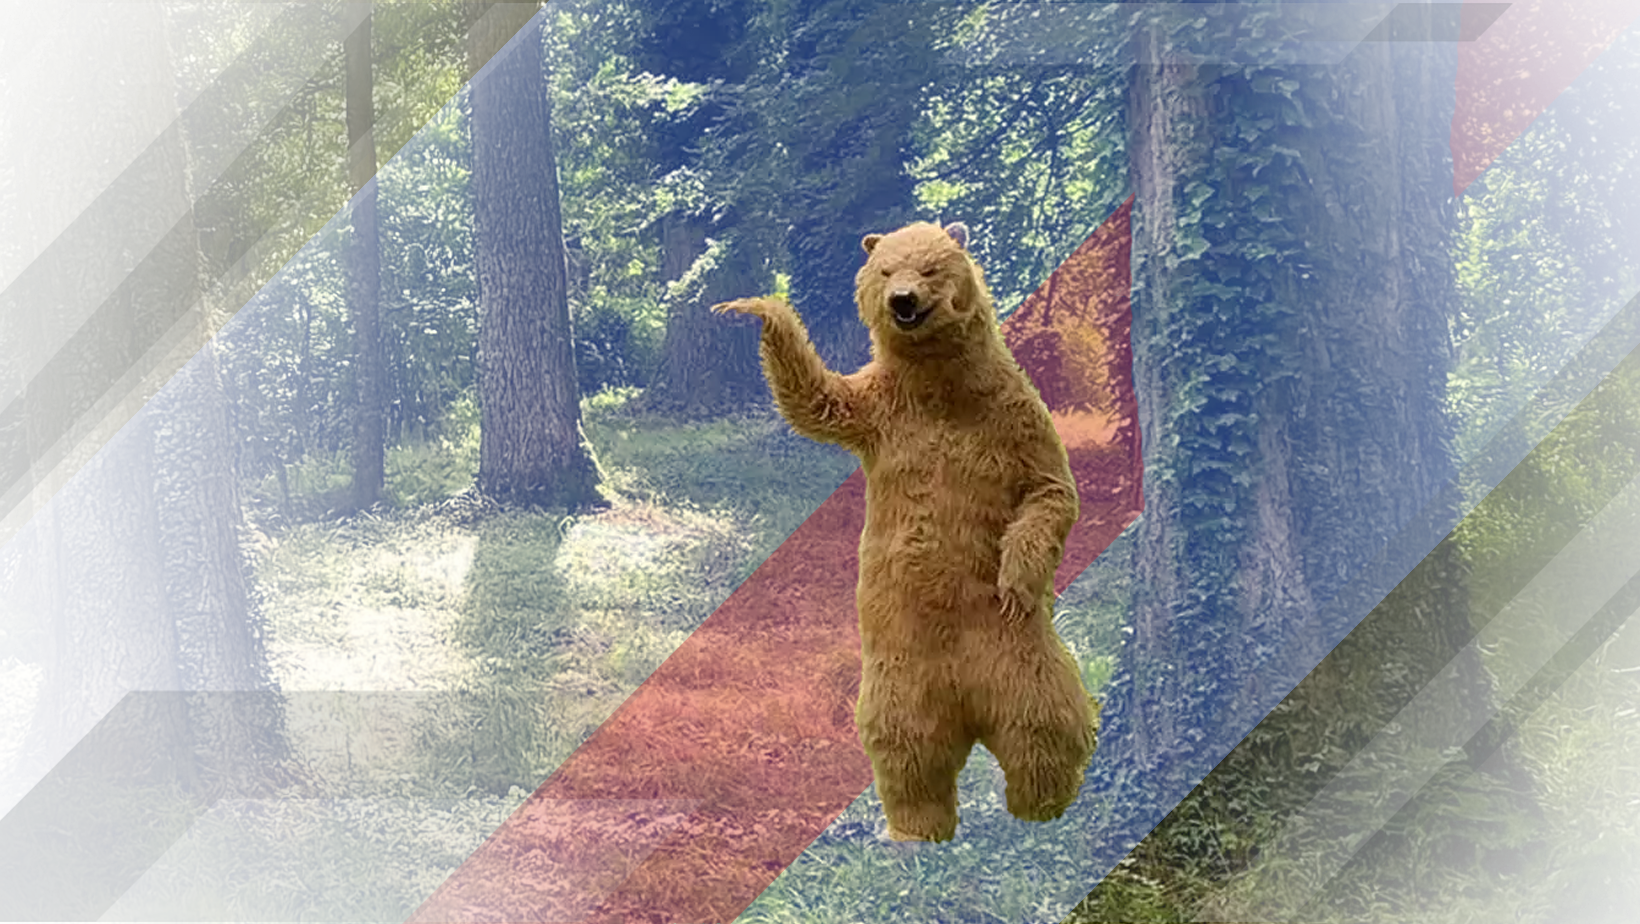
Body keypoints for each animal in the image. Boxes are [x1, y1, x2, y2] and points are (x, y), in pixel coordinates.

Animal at [712, 221, 1098, 842]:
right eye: (888, 268)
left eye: (931, 267)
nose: (902, 301)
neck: (938, 385)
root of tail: (969, 708)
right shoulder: (880, 410)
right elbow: (817, 400)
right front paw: (754, 307)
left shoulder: (1011, 411)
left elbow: (1050, 489)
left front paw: (1015, 581)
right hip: (900, 665)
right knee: (906, 743)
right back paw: (919, 827)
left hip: (1017, 653)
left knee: (1044, 719)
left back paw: (1039, 804)